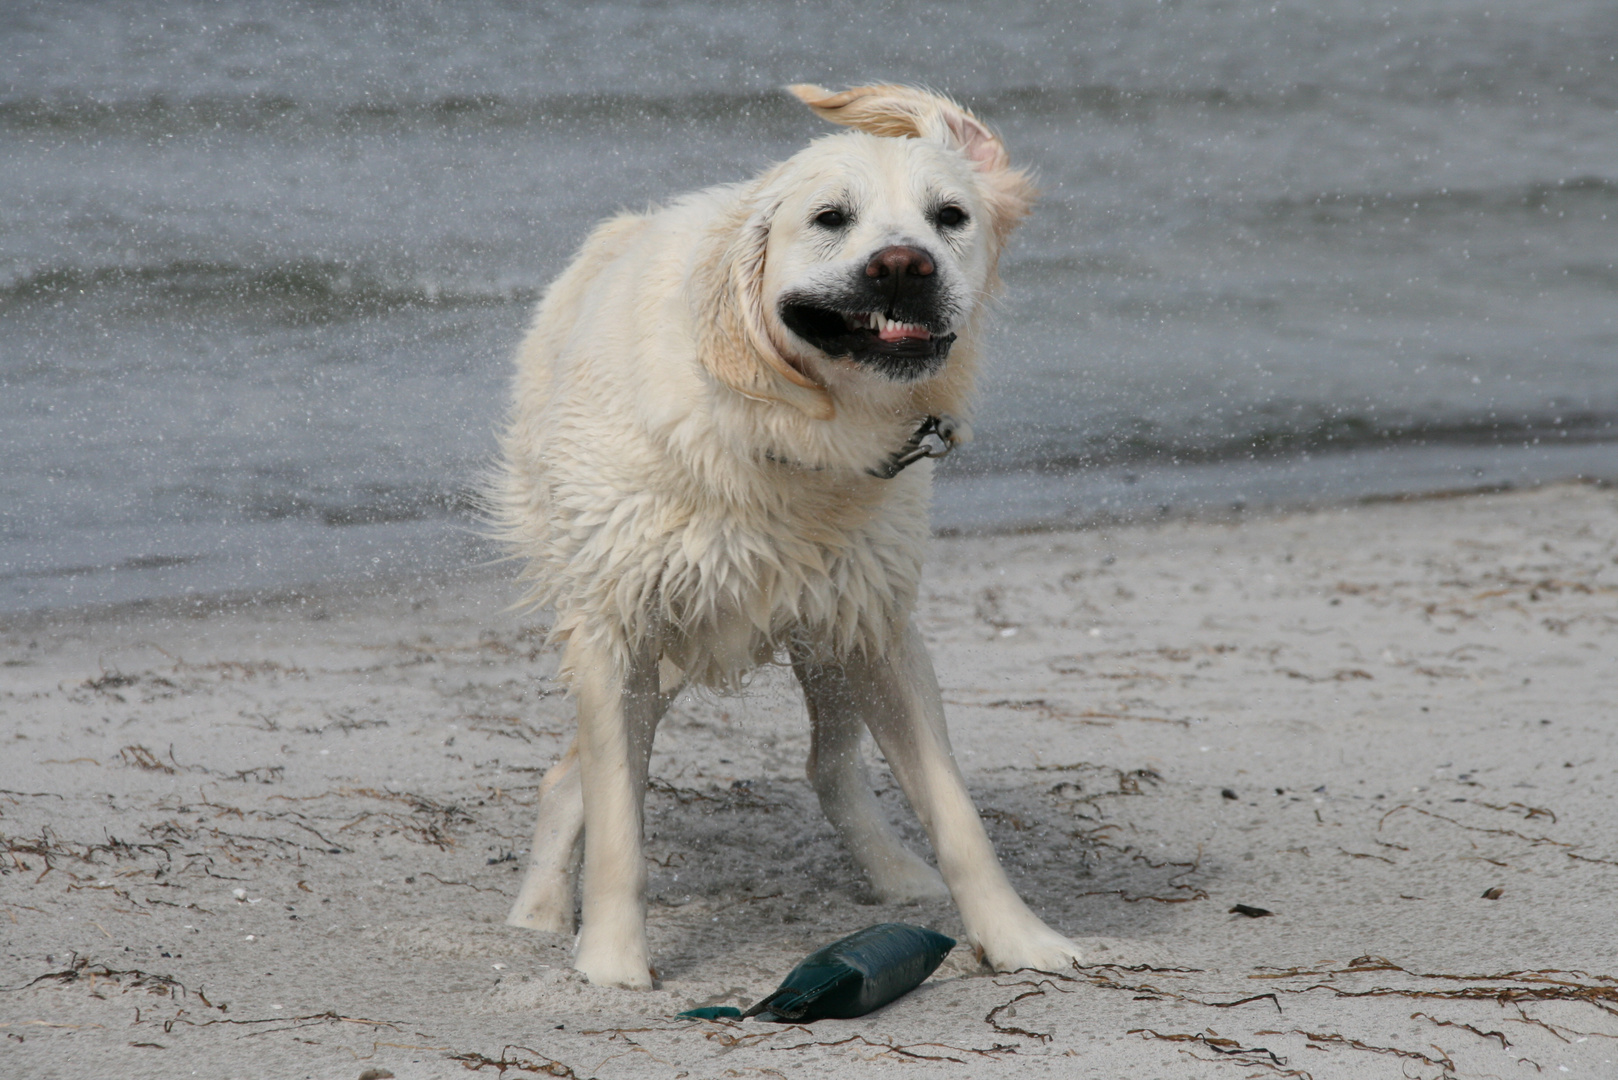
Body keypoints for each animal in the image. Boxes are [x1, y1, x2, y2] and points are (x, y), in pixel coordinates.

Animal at [485, 82, 1080, 990]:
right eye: (830, 217)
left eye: (949, 216)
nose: (904, 265)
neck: (788, 422)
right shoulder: (620, 628)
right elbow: (620, 818)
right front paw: (614, 967)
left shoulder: (879, 625)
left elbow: (954, 810)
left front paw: (1019, 938)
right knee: (575, 775)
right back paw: (542, 913)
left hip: (827, 632)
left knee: (826, 766)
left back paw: (896, 873)